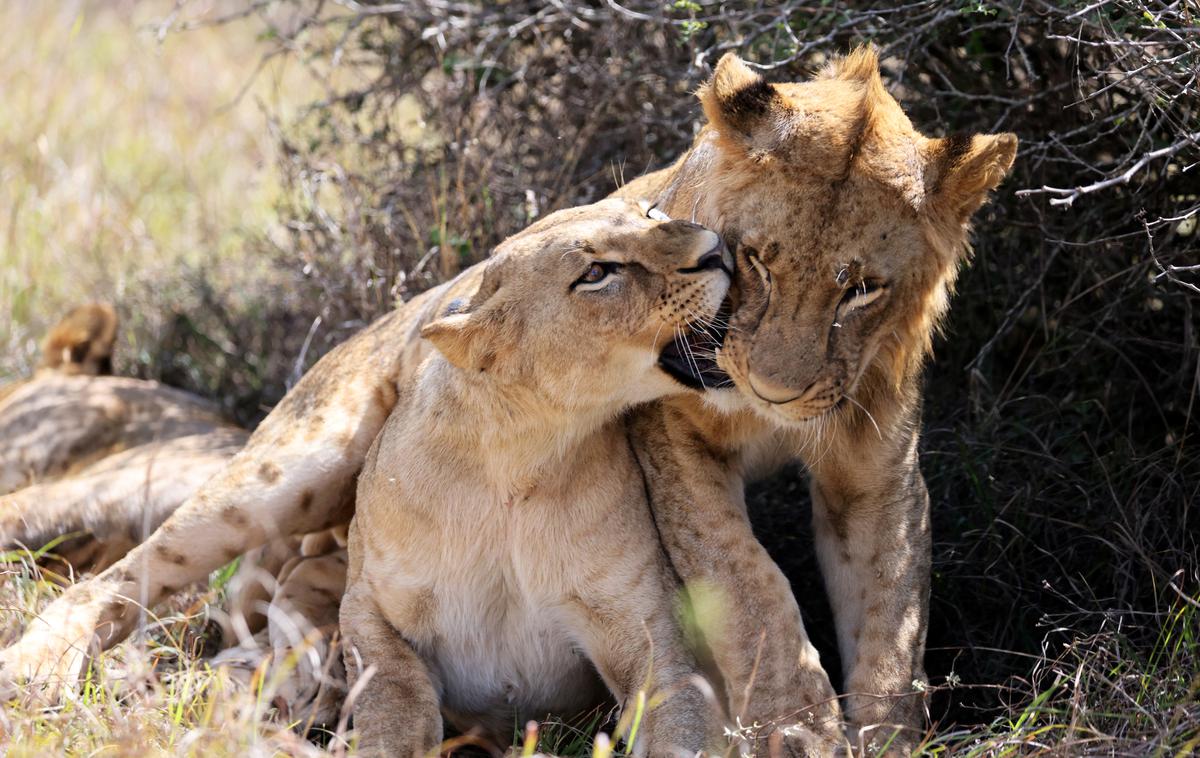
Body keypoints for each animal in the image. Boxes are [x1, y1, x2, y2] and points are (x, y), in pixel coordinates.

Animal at [343, 197, 724, 753]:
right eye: (595, 273)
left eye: (651, 212)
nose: (718, 249)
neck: (516, 465)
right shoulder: (365, 601)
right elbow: (392, 696)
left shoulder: (645, 627)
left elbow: (680, 724)